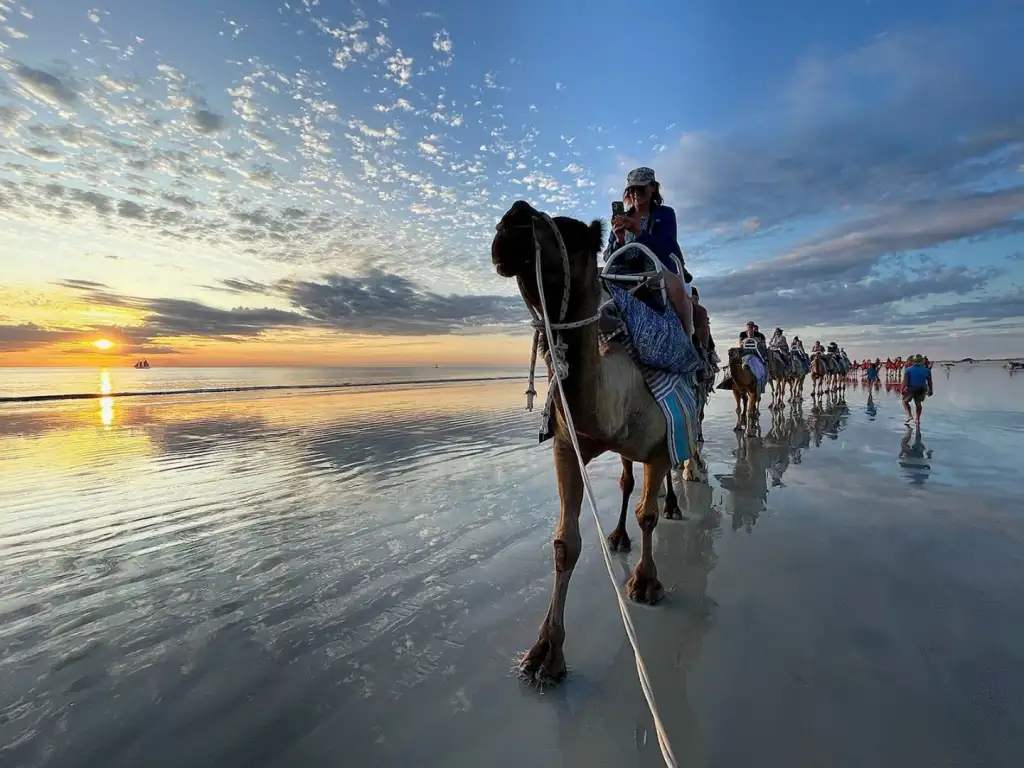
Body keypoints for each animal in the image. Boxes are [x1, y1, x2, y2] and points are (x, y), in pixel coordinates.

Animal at [491, 199, 708, 684]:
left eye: (574, 235)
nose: (512, 218)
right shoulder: (568, 446)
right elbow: (565, 544)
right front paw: (545, 653)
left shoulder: (660, 439)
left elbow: (649, 513)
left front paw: (645, 583)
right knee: (627, 481)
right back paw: (619, 536)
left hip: (686, 415)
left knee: (680, 458)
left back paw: (675, 499)